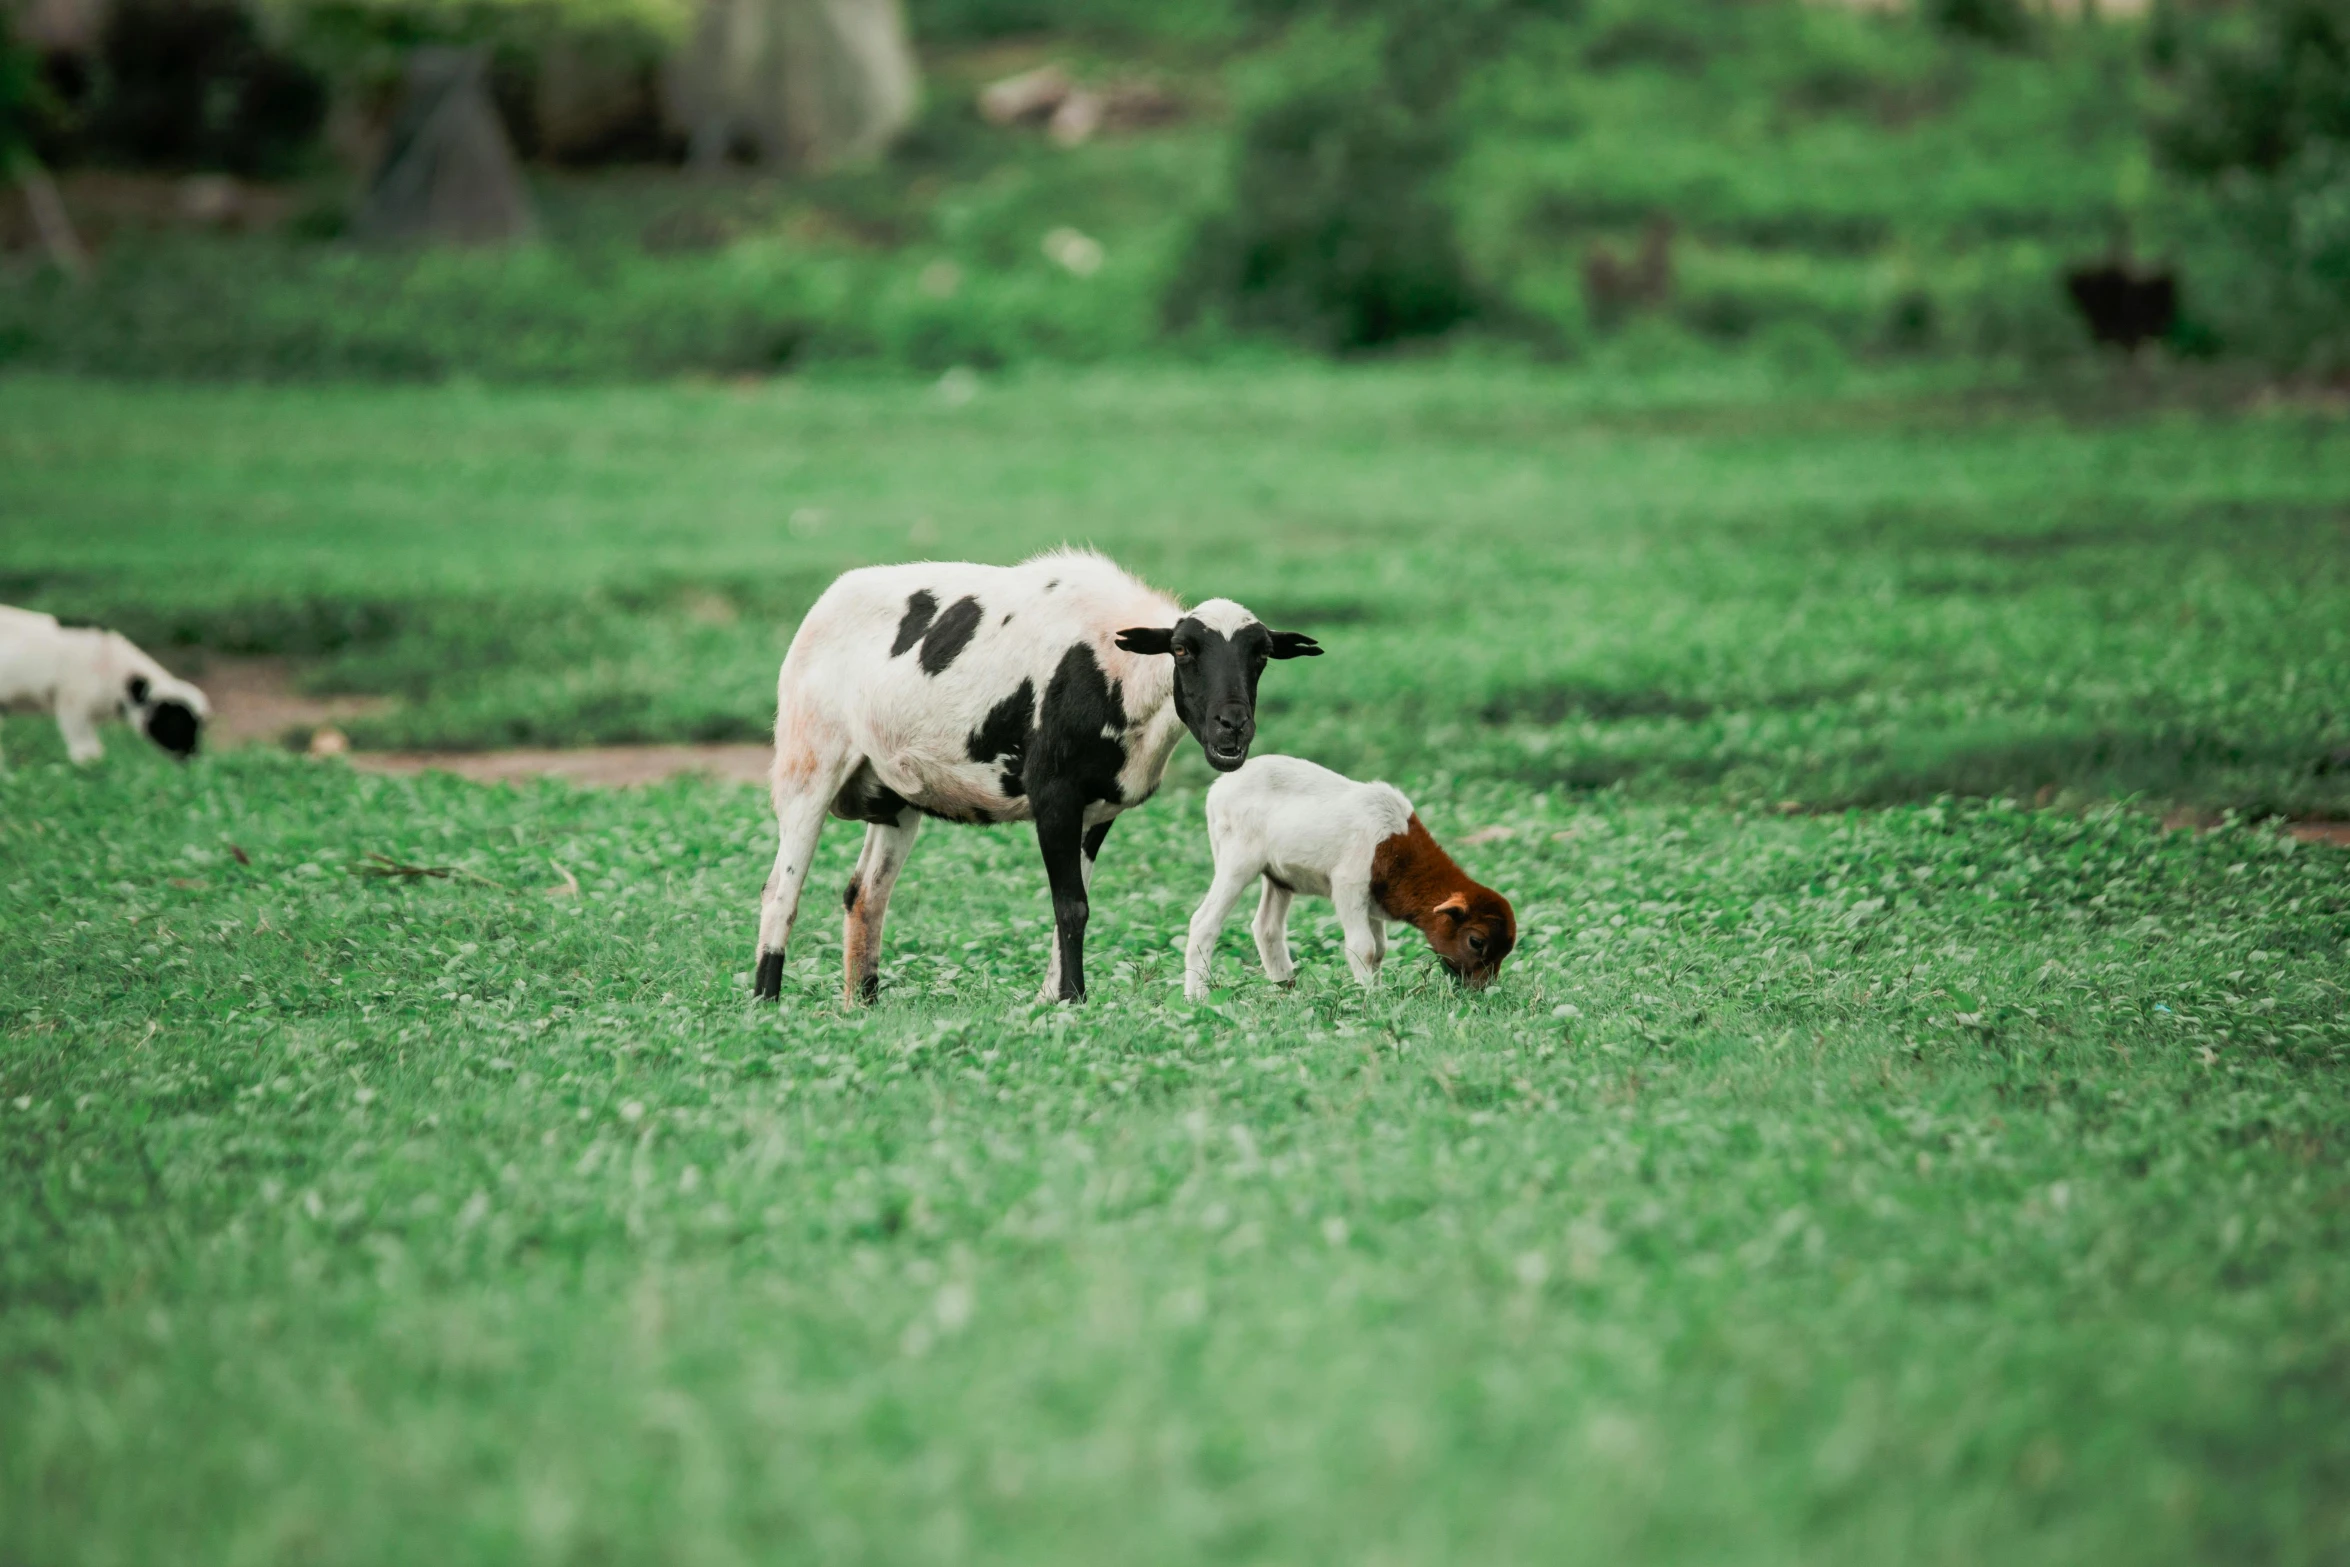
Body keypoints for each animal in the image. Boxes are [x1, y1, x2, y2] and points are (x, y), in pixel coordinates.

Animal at [747, 549, 1325, 1005]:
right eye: (1182, 650)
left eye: (1261, 655)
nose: (1233, 726)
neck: (1120, 672)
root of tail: (827, 601)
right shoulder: (1053, 795)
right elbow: (1070, 906)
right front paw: (1073, 999)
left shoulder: (1095, 811)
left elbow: (1073, 906)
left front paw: (1051, 999)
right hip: (808, 763)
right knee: (781, 890)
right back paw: (766, 1001)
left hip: (895, 795)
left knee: (865, 894)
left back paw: (862, 1005)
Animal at [1184, 751, 1513, 1000]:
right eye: (1476, 942)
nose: (1482, 992)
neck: (1398, 846)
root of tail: (1219, 787)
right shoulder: (1349, 885)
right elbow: (1363, 948)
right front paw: (1367, 997)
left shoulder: (1373, 901)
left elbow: (1380, 949)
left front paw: (1377, 990)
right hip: (1237, 860)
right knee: (1204, 922)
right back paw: (1197, 996)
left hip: (1278, 876)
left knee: (1267, 927)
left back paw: (1286, 989)